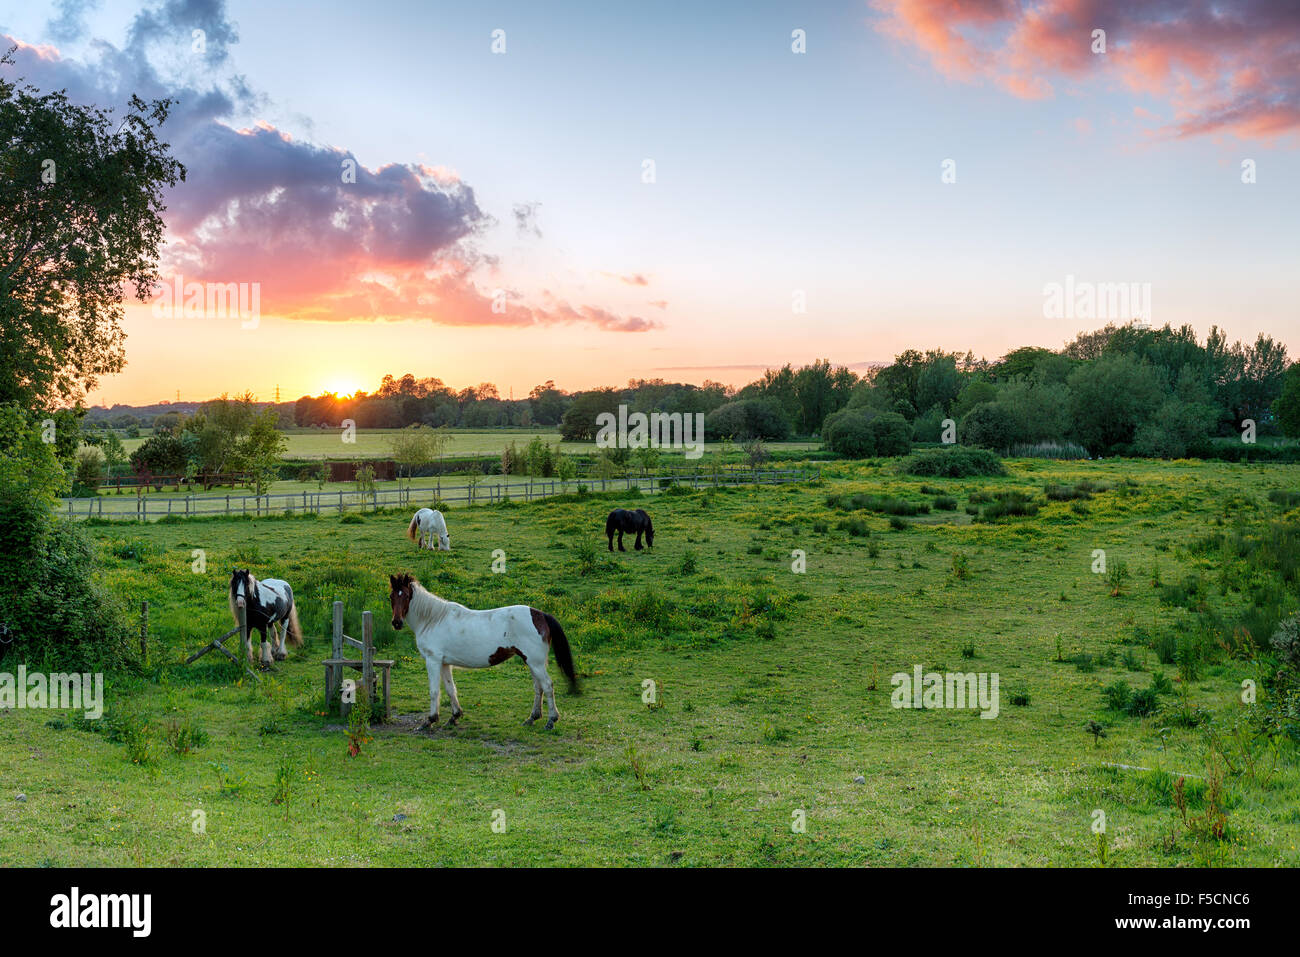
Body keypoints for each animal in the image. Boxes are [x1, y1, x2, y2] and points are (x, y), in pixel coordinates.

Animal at [384, 574, 579, 733]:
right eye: (392, 596)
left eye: (406, 596)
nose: (396, 623)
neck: (432, 620)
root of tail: (541, 615)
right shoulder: (444, 663)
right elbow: (450, 689)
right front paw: (454, 716)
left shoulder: (433, 660)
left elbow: (434, 691)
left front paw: (429, 721)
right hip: (530, 662)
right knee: (538, 688)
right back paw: (532, 718)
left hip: (535, 663)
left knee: (547, 685)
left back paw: (551, 721)